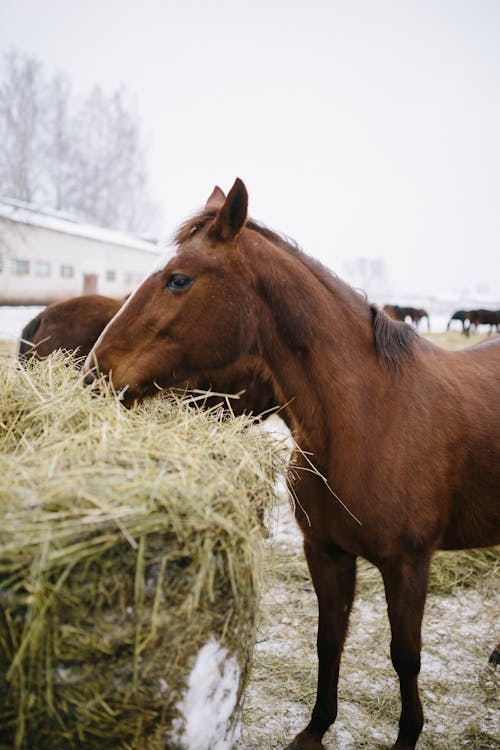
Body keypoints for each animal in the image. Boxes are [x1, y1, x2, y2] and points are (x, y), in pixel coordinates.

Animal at [84, 181, 498, 750]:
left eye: (178, 279)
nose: (94, 371)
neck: (372, 418)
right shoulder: (324, 552)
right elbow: (328, 640)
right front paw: (315, 728)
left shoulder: (408, 565)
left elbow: (406, 657)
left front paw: (408, 734)